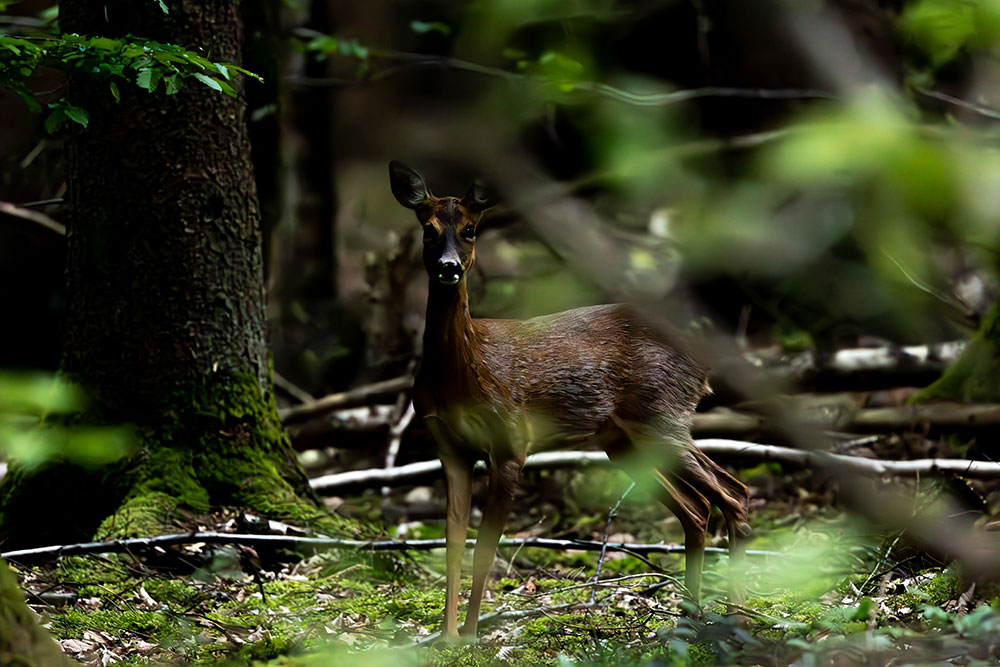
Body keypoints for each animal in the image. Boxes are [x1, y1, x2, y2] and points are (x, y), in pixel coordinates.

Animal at [390, 162, 752, 640]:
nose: (449, 267)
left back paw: (737, 617)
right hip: (623, 441)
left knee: (734, 492)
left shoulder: (512, 442)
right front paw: (447, 637)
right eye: (428, 230)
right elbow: (453, 542)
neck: (462, 372)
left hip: (662, 414)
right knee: (696, 508)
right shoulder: (448, 446)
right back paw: (689, 617)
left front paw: (470, 637)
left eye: (470, 230)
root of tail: (703, 360)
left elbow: (485, 548)